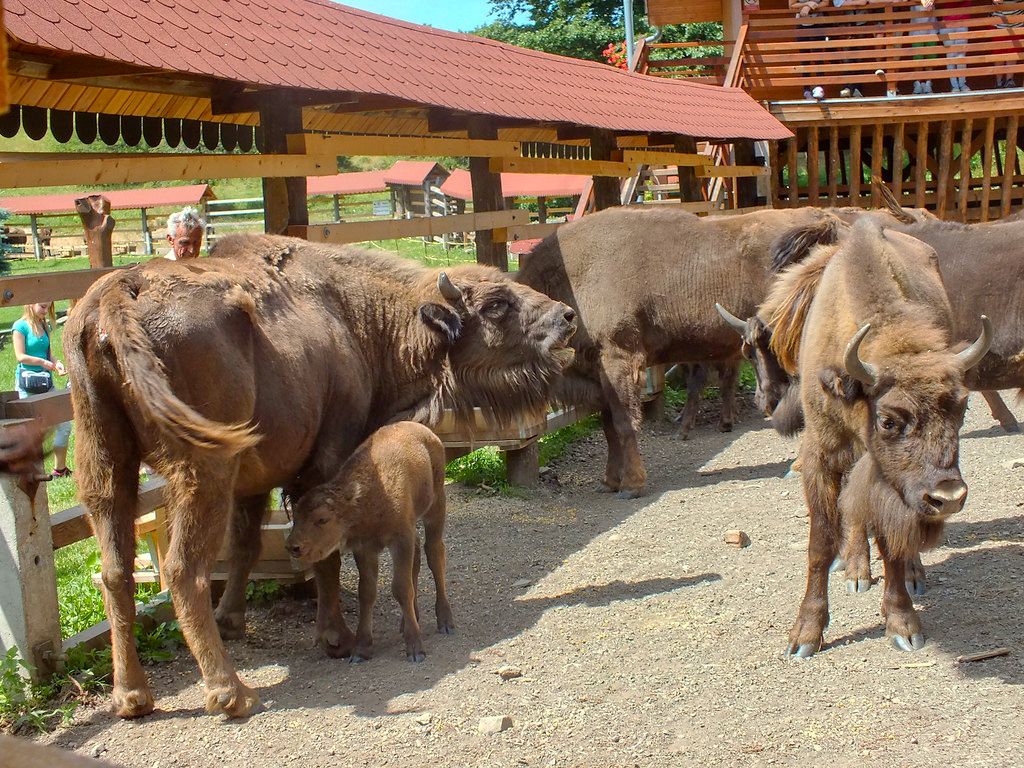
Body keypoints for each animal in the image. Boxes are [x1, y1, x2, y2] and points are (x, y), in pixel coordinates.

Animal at [284, 421, 452, 667]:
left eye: (322, 519)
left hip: (436, 505)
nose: (293, 546)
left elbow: (401, 588)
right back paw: (407, 622)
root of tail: (427, 432)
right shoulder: (365, 549)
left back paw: (446, 621)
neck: (363, 498)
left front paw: (415, 649)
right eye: (295, 516)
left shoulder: (400, 539)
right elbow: (366, 592)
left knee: (434, 553)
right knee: (418, 559)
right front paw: (361, 650)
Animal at [761, 219, 991, 659]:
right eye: (888, 420)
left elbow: (891, 543)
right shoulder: (820, 458)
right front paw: (805, 636)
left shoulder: (891, 483)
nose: (949, 497)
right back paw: (855, 571)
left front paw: (903, 625)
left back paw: (912, 573)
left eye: (963, 408)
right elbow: (821, 542)